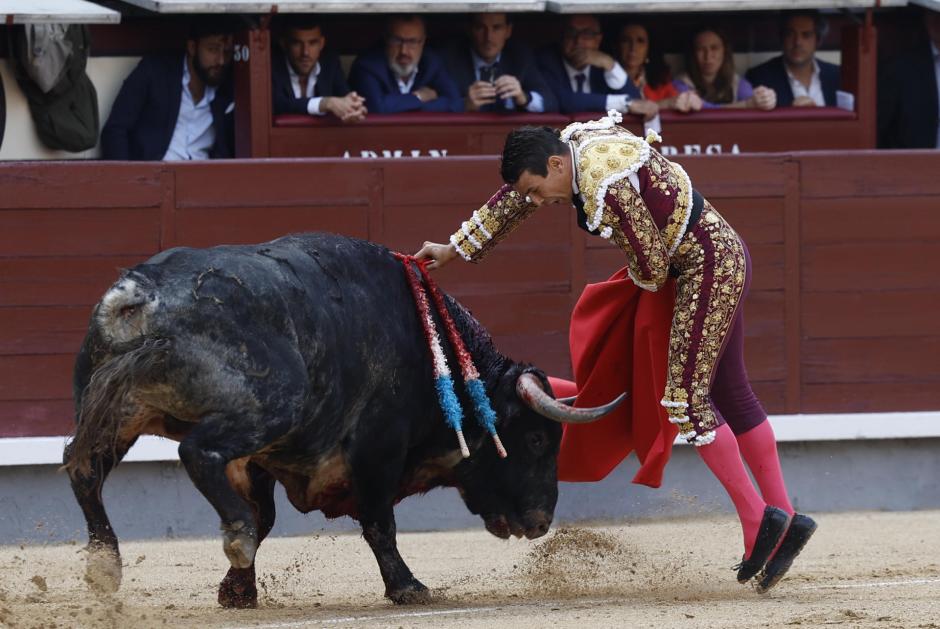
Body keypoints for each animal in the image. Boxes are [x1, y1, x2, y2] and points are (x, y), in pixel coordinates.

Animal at [62, 233, 620, 604]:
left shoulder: (262, 461)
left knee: (83, 467)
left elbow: (268, 516)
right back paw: (230, 535)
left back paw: (104, 568)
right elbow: (379, 522)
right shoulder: (377, 447)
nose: (542, 522)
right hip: (272, 404)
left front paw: (237, 592)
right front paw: (408, 587)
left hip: (117, 410)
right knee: (197, 452)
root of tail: (139, 294)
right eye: (536, 440)